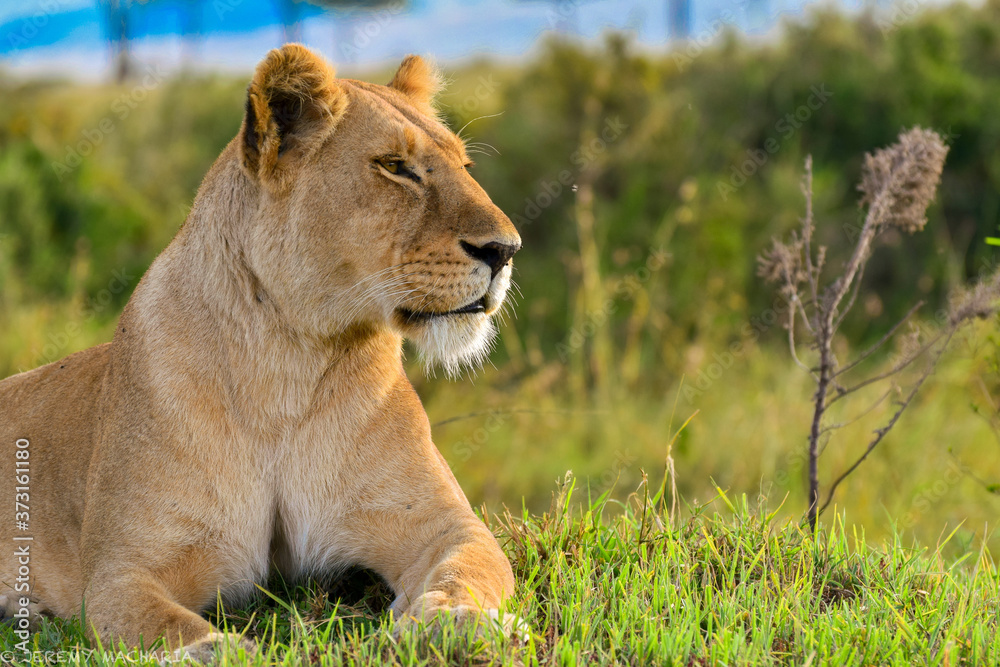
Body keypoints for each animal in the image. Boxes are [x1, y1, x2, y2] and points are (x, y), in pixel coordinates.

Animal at [0, 44, 520, 660]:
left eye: (465, 167)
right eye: (395, 166)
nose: (505, 250)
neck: (287, 365)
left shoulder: (446, 524)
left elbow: (469, 570)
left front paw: (457, 624)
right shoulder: (118, 572)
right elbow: (174, 628)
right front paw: (227, 651)